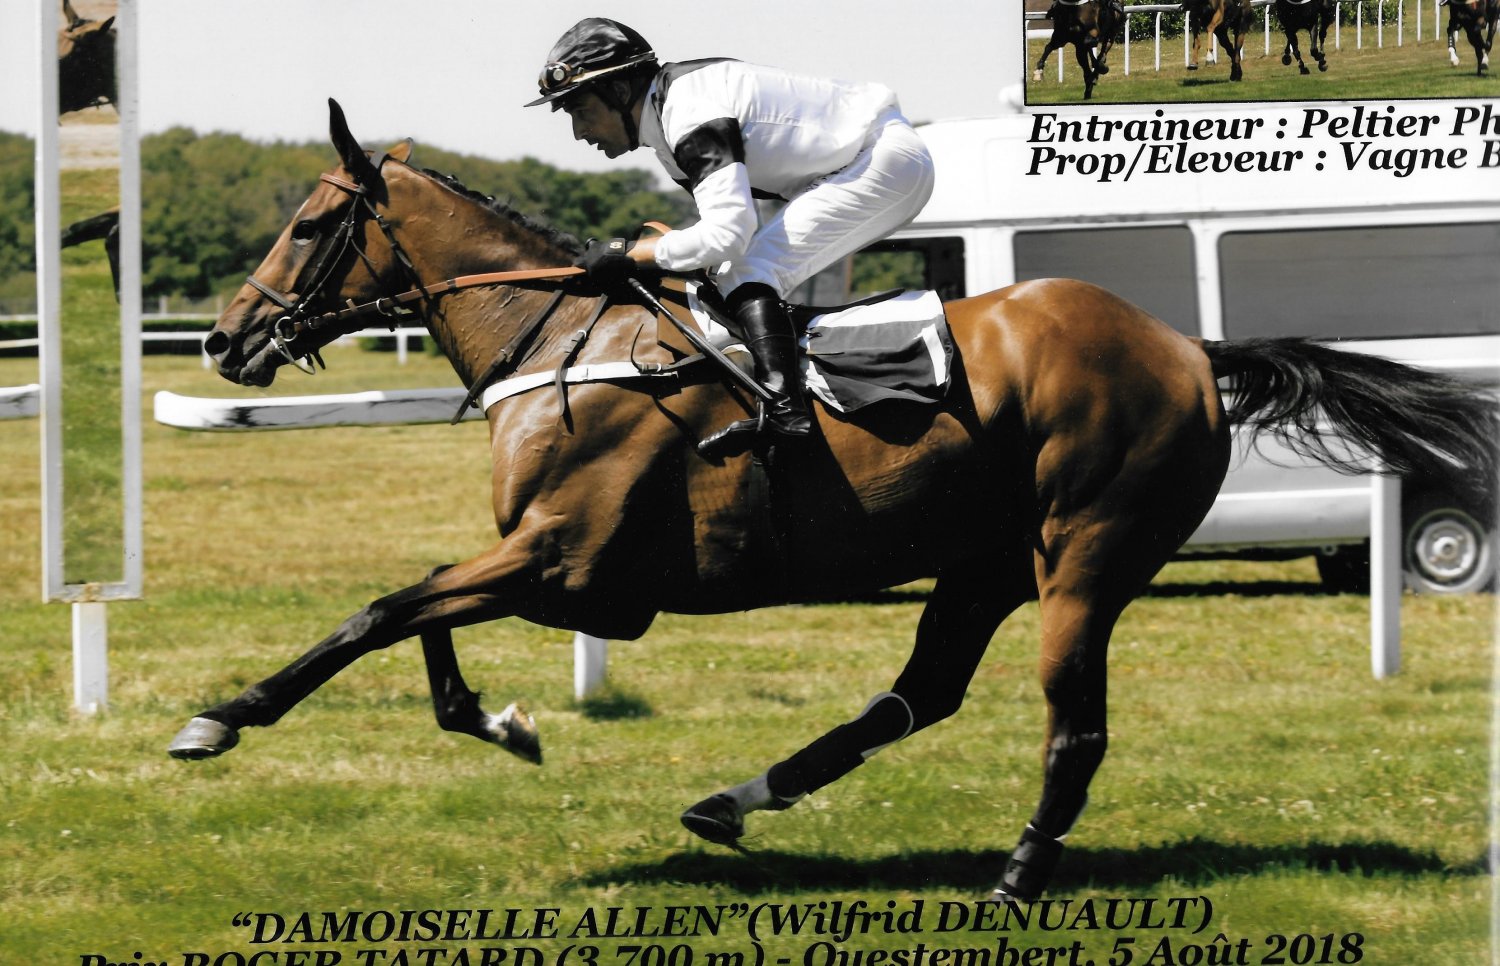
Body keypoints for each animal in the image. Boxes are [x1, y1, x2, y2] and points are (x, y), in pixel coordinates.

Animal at [168, 100, 1498, 903]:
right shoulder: (547, 567)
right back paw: (734, 799)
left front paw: (223, 716)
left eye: (308, 224)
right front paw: (502, 722)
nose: (228, 340)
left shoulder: (568, 565)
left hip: (1086, 556)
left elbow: (380, 612)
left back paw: (1018, 875)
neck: (558, 342)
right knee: (920, 694)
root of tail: (1188, 347)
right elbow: (417, 618)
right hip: (982, 562)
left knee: (1072, 725)